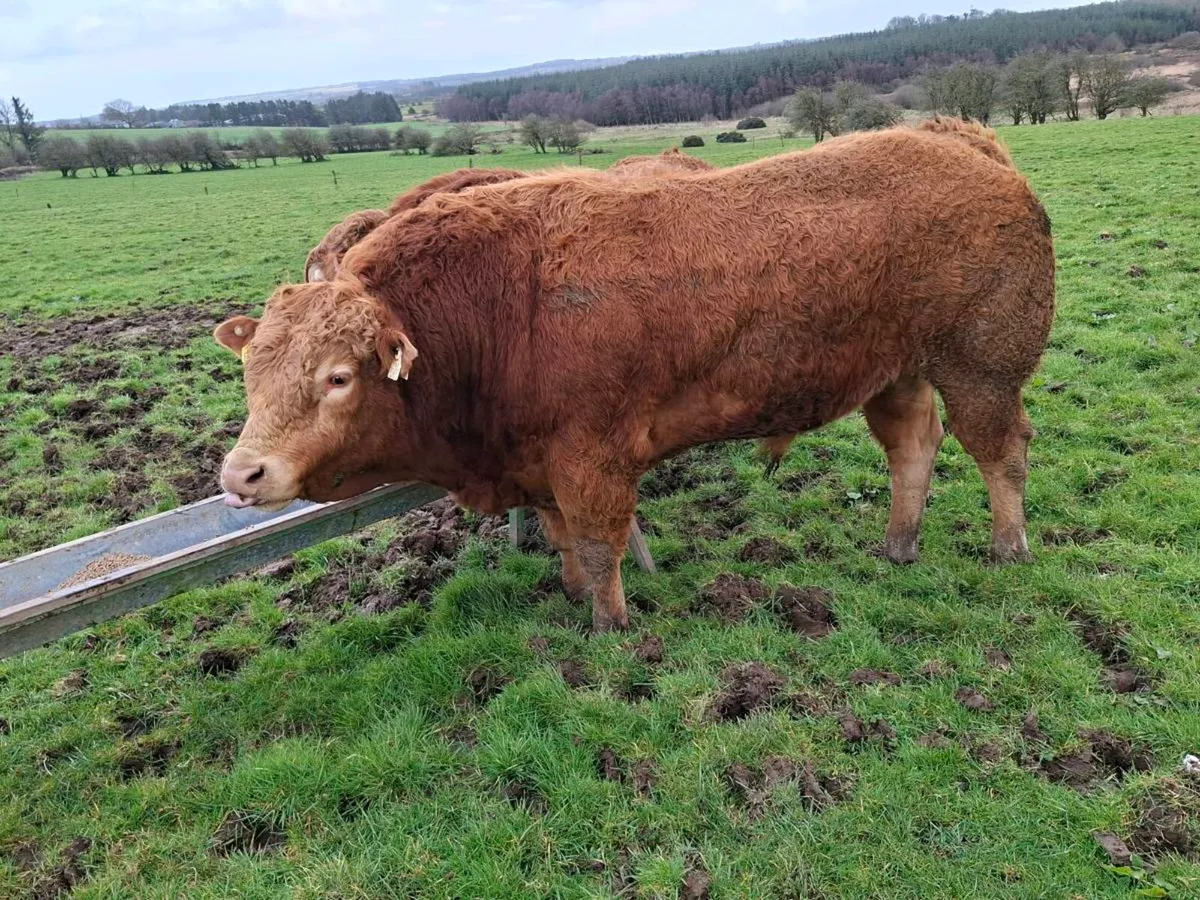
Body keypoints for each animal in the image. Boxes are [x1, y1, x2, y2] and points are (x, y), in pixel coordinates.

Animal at [215, 120, 1055, 634]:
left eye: (337, 378)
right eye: (251, 373)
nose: (241, 474)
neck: (491, 309)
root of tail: (960, 138)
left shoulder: (592, 458)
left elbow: (597, 542)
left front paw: (611, 624)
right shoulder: (535, 461)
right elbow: (561, 539)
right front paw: (572, 592)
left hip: (981, 366)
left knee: (1000, 452)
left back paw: (1008, 546)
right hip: (896, 371)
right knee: (913, 445)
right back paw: (898, 543)